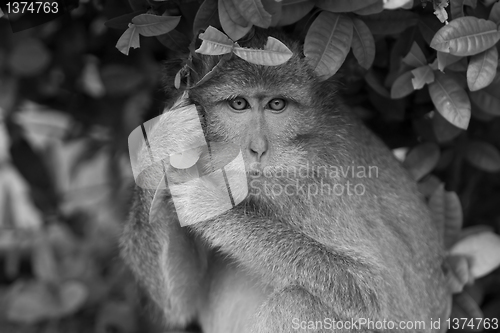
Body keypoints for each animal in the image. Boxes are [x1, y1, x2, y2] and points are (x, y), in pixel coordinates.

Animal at [122, 29, 454, 332]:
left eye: (277, 105)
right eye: (239, 104)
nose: (257, 149)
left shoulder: (322, 186)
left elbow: (375, 293)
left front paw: (208, 204)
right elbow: (180, 304)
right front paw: (162, 146)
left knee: (296, 302)